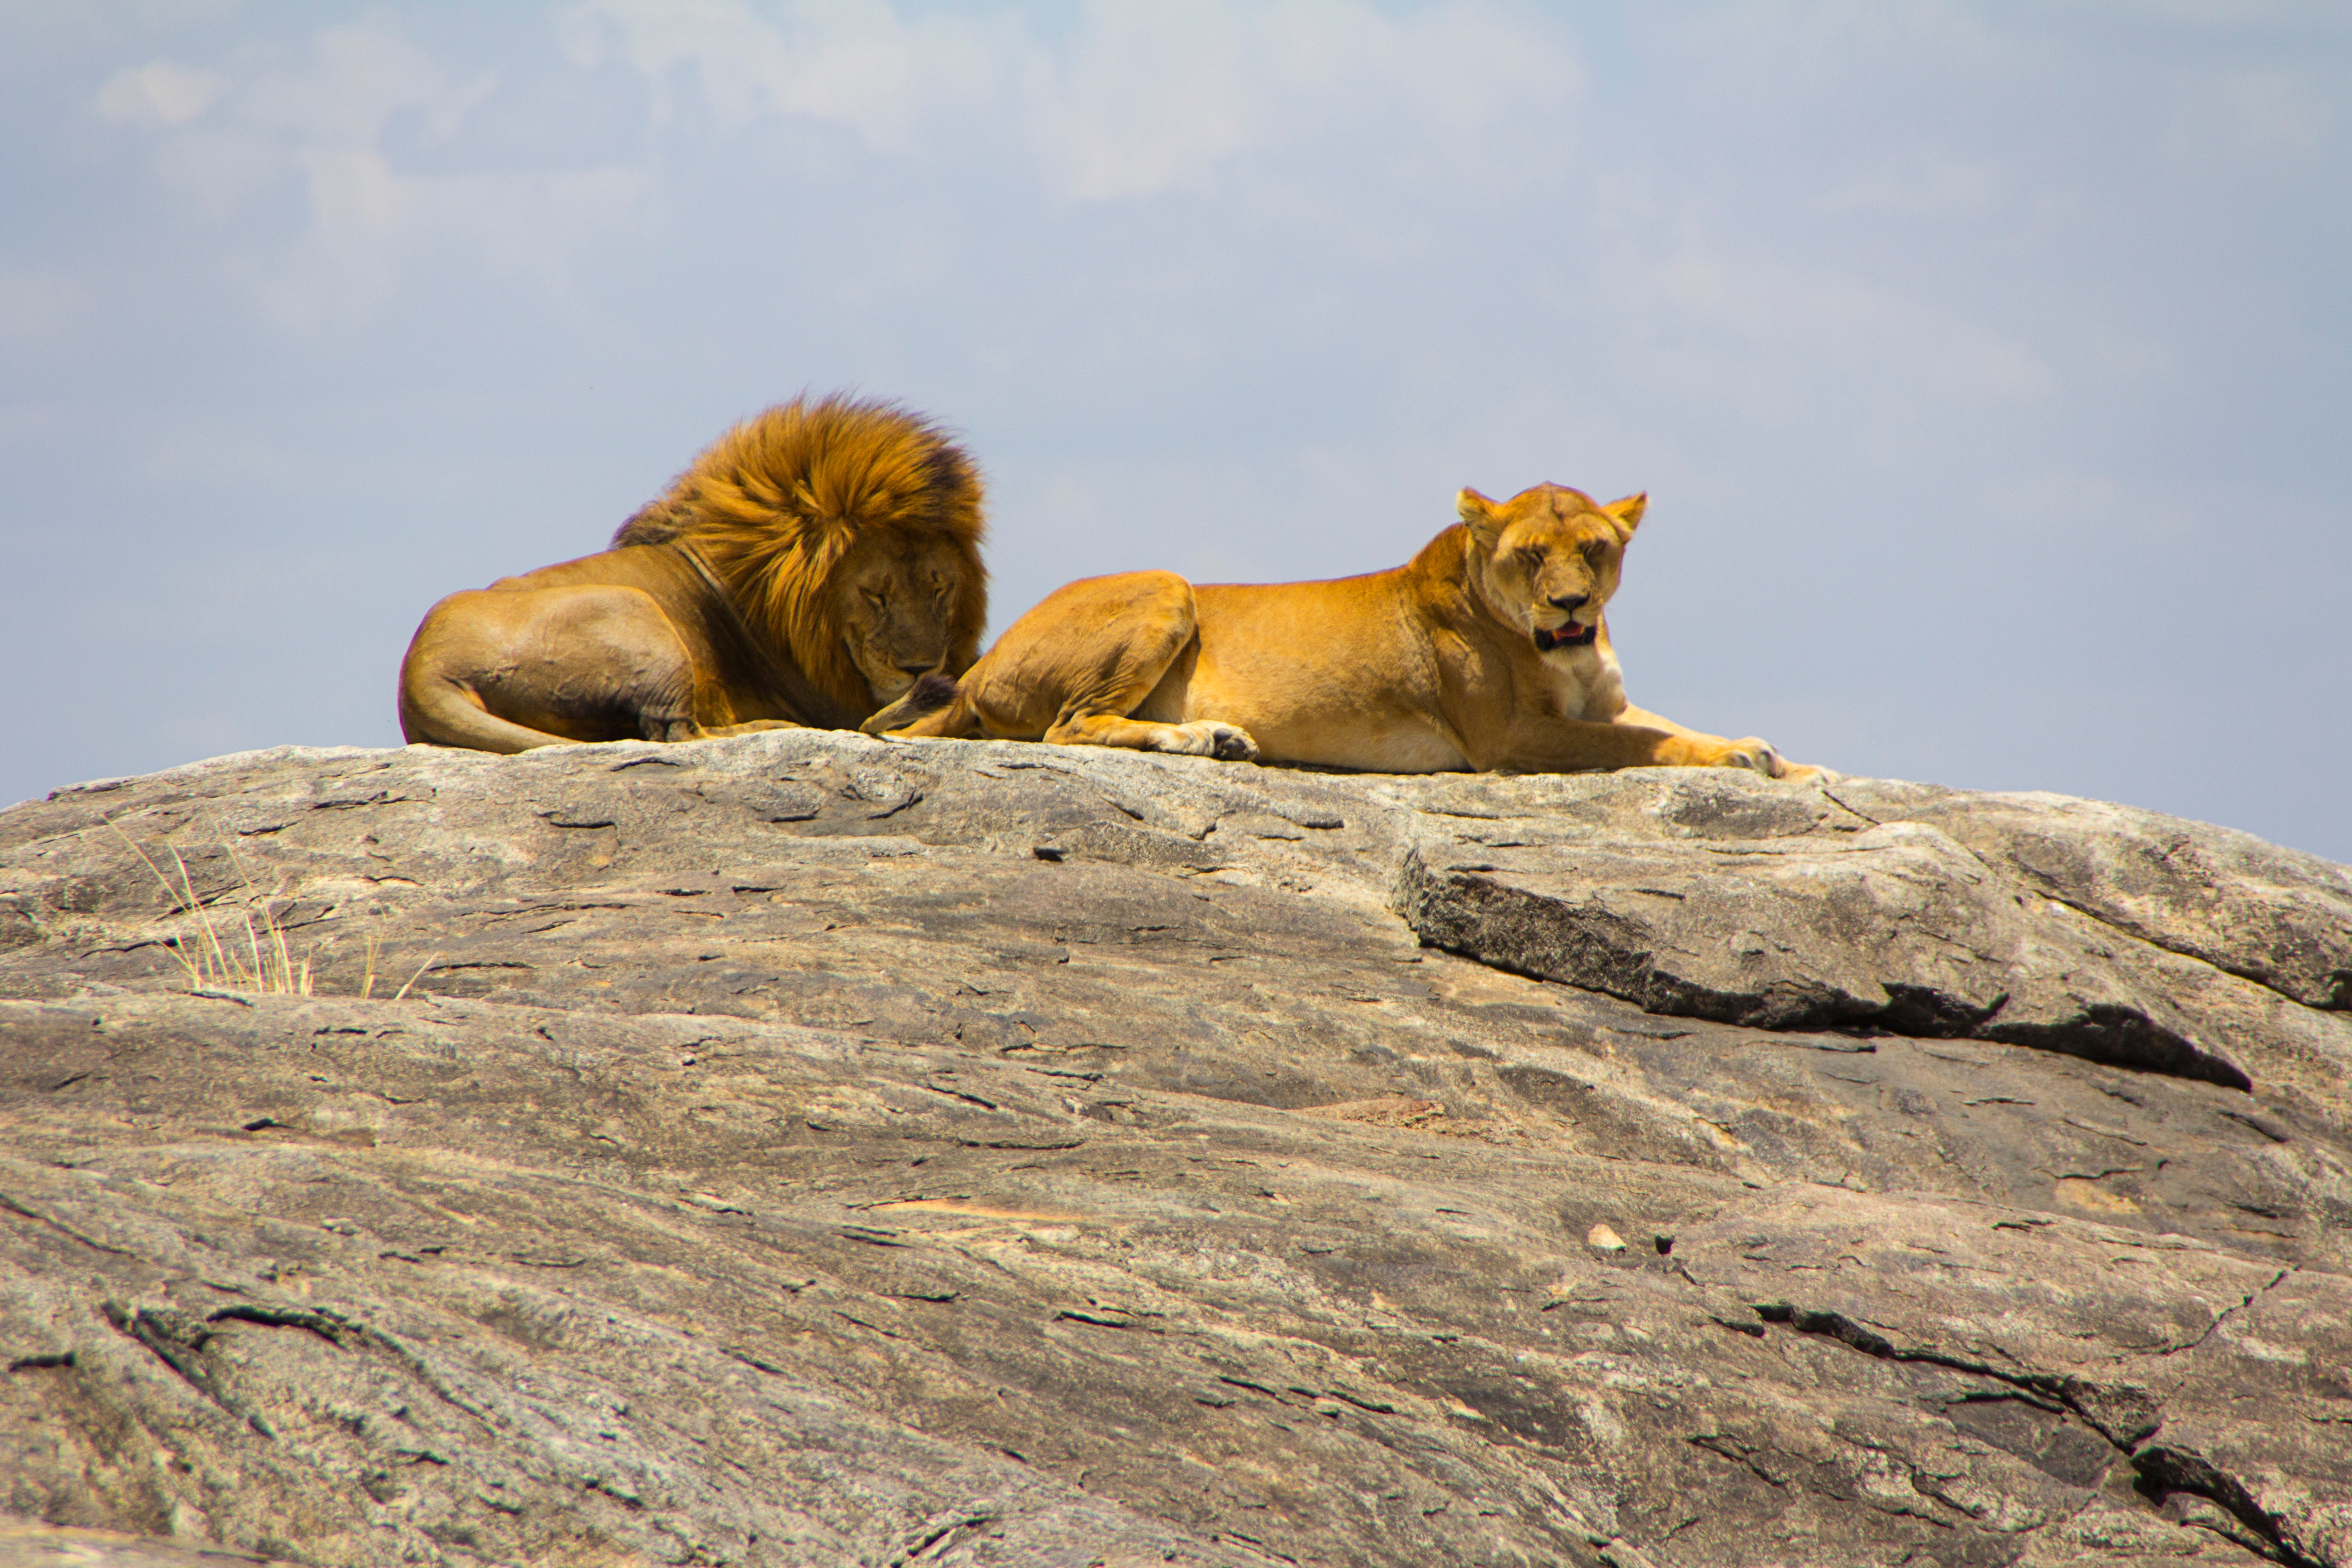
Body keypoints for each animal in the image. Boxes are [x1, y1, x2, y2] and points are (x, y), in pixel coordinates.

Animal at [398, 394, 987, 753]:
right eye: (874, 595)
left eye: (940, 588)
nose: (920, 669)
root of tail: (423, 669)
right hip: (636, 612)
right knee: (678, 734)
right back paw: (772, 726)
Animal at [862, 481, 1815, 779]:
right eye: (1529, 557)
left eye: (1593, 549)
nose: (1571, 606)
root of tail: (979, 665)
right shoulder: (1508, 738)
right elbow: (1642, 746)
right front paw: (1742, 759)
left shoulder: (1600, 703)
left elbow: (1665, 726)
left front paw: (1777, 756)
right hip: (1166, 587)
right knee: (1068, 726)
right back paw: (1202, 737)